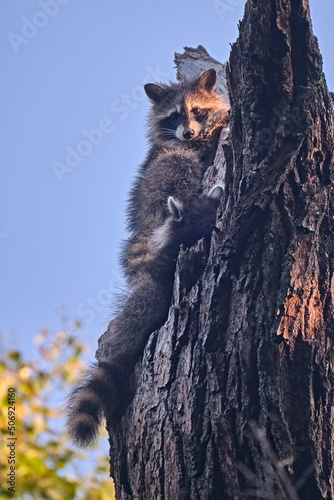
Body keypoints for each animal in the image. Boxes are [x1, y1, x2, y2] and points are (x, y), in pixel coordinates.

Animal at [65, 68, 230, 448]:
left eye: (196, 111)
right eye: (174, 116)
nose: (188, 132)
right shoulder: (183, 147)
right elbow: (199, 145)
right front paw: (224, 120)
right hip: (163, 183)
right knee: (177, 168)